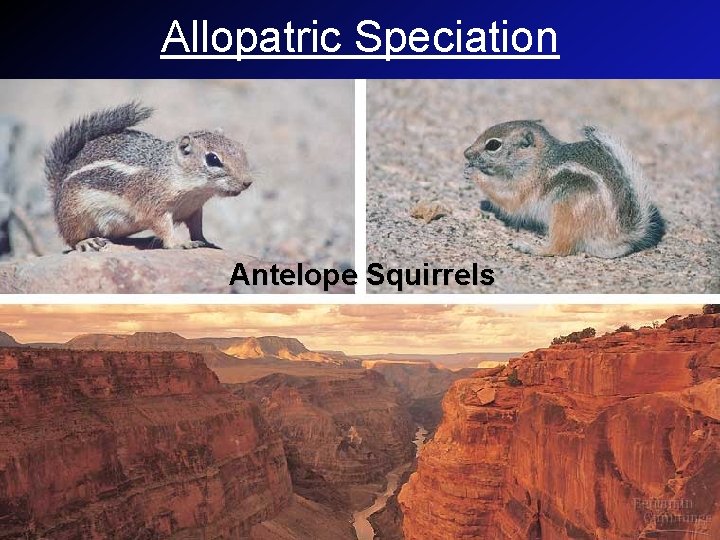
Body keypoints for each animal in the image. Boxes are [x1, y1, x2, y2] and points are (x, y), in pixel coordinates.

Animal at [44, 102, 253, 251]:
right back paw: (86, 242)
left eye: (239, 147)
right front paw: (180, 243)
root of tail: (59, 185)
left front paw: (205, 241)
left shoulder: (195, 209)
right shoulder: (154, 205)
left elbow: (197, 228)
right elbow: (163, 227)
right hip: (74, 213)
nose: (248, 182)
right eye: (212, 159)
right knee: (71, 238)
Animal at [463, 120, 665, 258]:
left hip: (565, 211)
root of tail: (618, 234)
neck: (538, 160)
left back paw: (530, 247)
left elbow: (508, 199)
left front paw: (475, 174)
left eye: (493, 145)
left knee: (559, 249)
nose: (466, 153)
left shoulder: (524, 187)